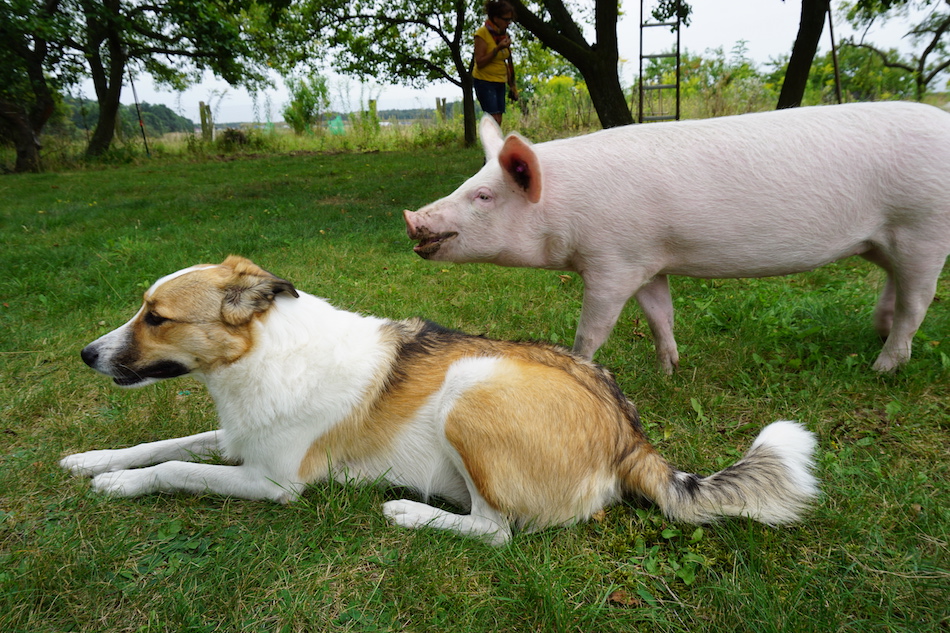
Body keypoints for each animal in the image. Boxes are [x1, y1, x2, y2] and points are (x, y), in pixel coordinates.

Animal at [59, 254, 820, 540]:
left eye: (156, 317)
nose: (86, 354)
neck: (262, 352)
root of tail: (630, 434)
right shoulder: (236, 438)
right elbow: (159, 444)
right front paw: (93, 461)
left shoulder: (271, 482)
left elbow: (175, 467)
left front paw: (120, 487)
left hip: (469, 391)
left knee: (497, 529)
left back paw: (410, 511)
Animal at [404, 101, 950, 372]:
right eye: (469, 183)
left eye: (483, 196)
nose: (412, 217)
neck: (566, 206)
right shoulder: (647, 260)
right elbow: (659, 315)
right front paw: (670, 368)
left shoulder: (612, 263)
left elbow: (593, 329)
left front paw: (581, 365)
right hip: (883, 240)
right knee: (895, 287)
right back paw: (877, 332)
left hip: (923, 229)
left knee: (917, 302)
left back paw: (882, 366)